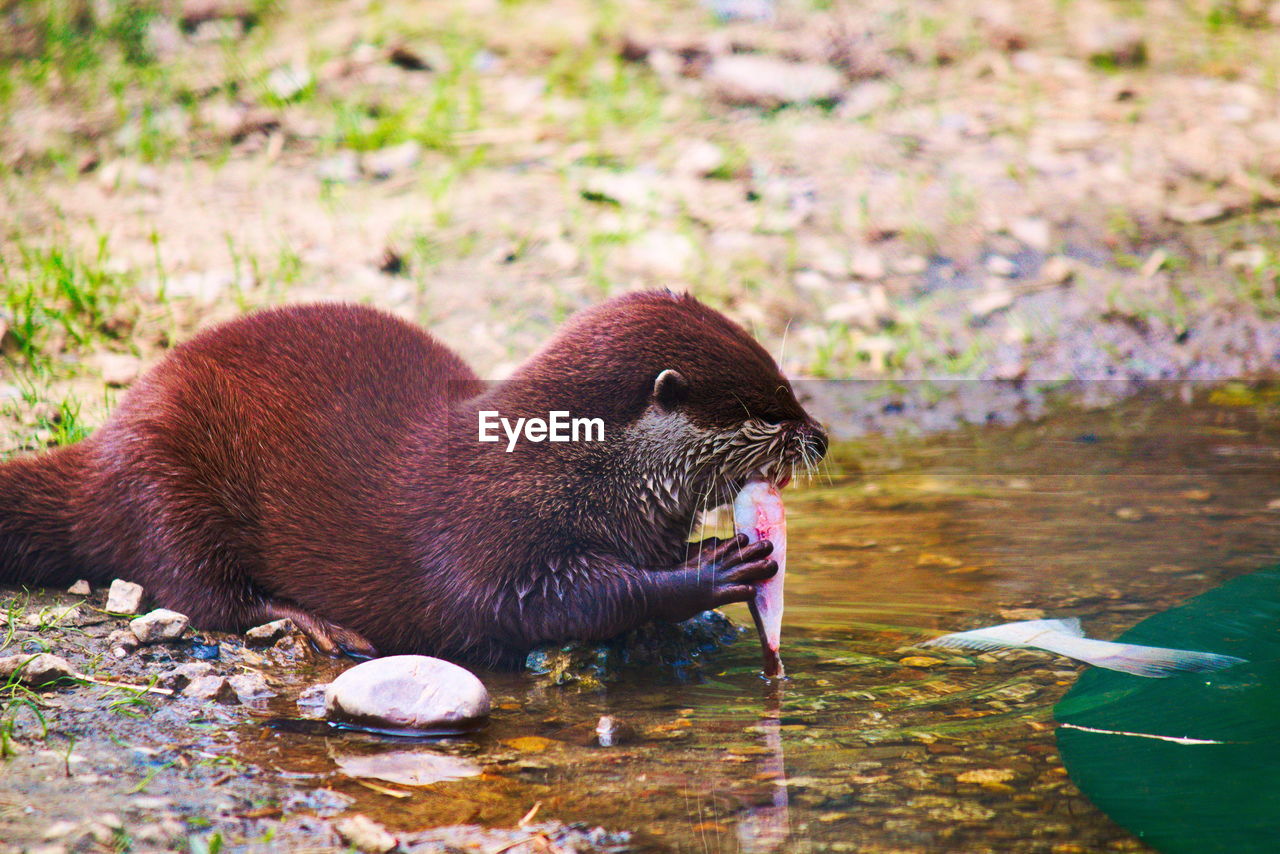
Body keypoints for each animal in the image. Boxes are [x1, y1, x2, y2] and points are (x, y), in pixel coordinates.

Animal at [0, 291, 829, 665]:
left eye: (789, 385)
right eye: (765, 406)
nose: (820, 437)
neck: (576, 471)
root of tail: (107, 436)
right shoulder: (491, 528)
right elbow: (548, 601)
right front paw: (715, 568)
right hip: (168, 477)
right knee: (200, 590)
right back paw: (315, 625)